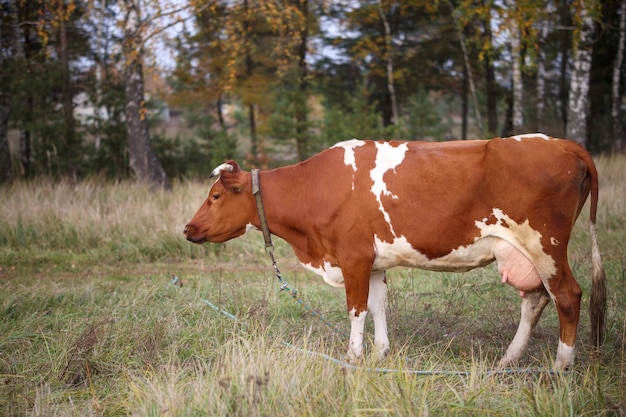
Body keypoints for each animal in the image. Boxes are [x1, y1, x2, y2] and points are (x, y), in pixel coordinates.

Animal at [183, 132, 604, 368]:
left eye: (215, 196)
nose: (188, 229)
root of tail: (564, 144)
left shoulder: (352, 256)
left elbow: (355, 308)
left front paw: (352, 358)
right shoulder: (374, 261)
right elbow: (378, 304)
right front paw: (381, 354)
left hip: (546, 245)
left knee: (567, 296)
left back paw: (560, 367)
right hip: (526, 251)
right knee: (536, 298)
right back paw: (507, 361)